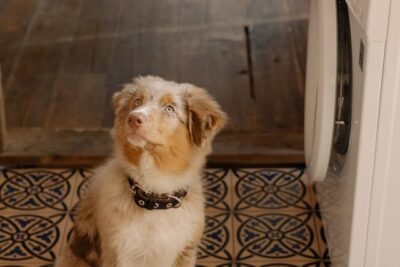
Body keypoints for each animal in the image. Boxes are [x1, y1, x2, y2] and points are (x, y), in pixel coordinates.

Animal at [55, 76, 227, 266]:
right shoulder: (119, 253)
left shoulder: (186, 251)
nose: (133, 118)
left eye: (170, 108)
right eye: (137, 102)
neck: (155, 189)